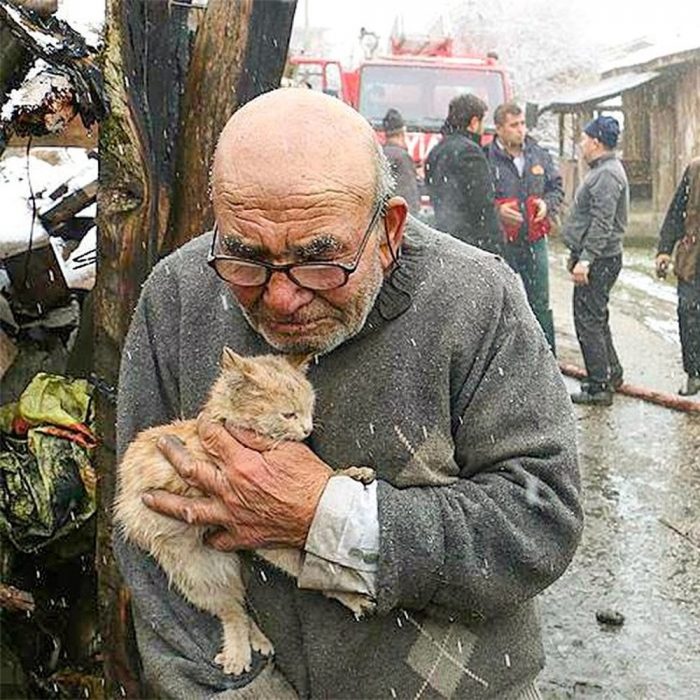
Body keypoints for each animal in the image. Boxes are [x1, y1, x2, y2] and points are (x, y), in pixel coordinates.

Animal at [114, 352, 374, 676]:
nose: (307, 429)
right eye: (288, 414)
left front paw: (351, 473)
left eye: (309, 409)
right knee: (233, 611)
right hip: (199, 574)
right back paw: (238, 654)